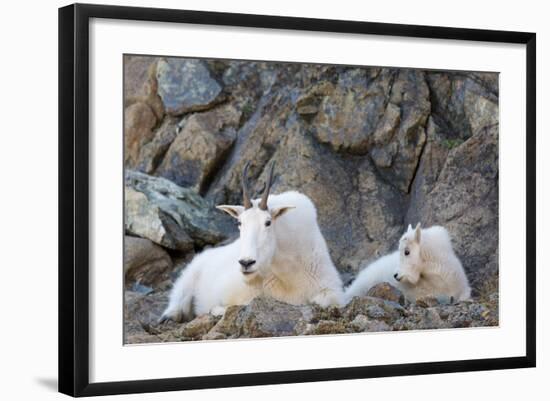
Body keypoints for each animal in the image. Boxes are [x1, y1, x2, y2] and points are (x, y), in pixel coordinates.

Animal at [160, 161, 348, 320]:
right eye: (239, 222)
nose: (246, 263)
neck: (290, 274)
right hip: (189, 277)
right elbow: (231, 305)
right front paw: (217, 310)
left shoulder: (331, 290)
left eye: (268, 222)